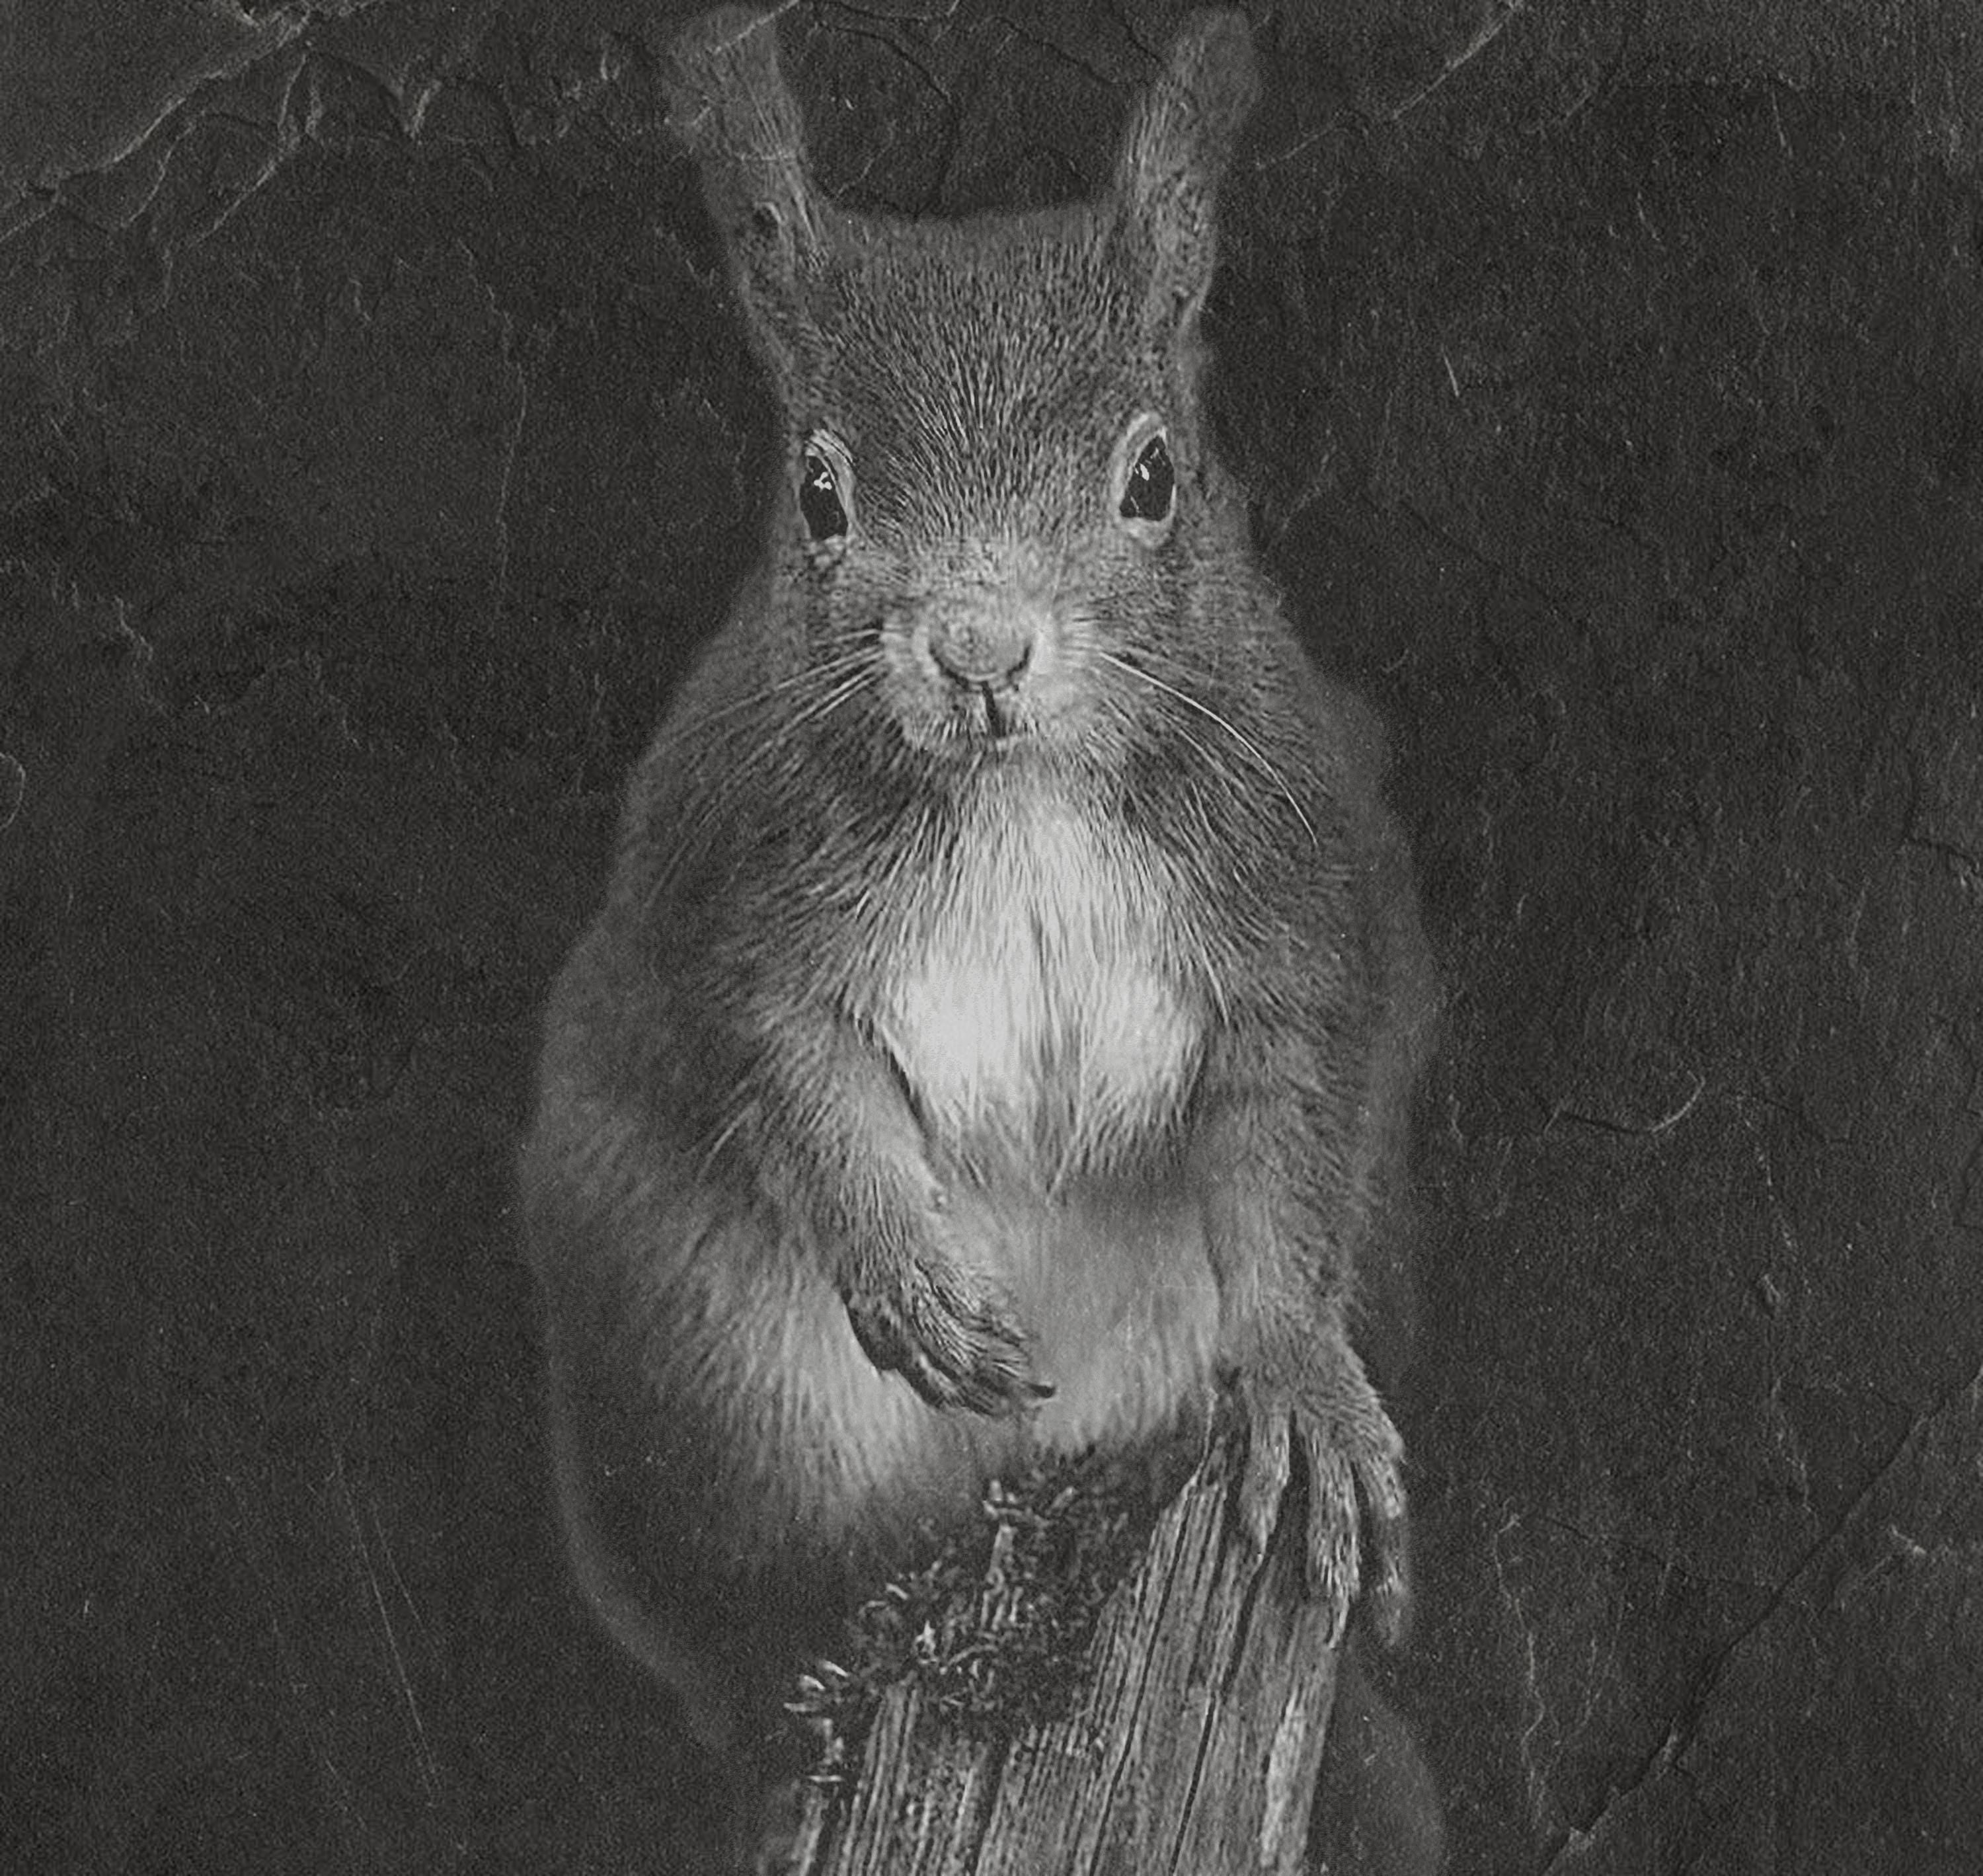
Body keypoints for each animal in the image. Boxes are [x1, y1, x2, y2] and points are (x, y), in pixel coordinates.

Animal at [520, 3, 1439, 1859]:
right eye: (817, 494)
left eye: (1155, 474)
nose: (979, 648)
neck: (1020, 798)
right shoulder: (733, 894)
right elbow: (789, 1076)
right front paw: (911, 1270)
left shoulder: (1297, 901)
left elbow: (1284, 1144)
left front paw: (1302, 1383)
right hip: (710, 1372)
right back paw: (799, 1692)